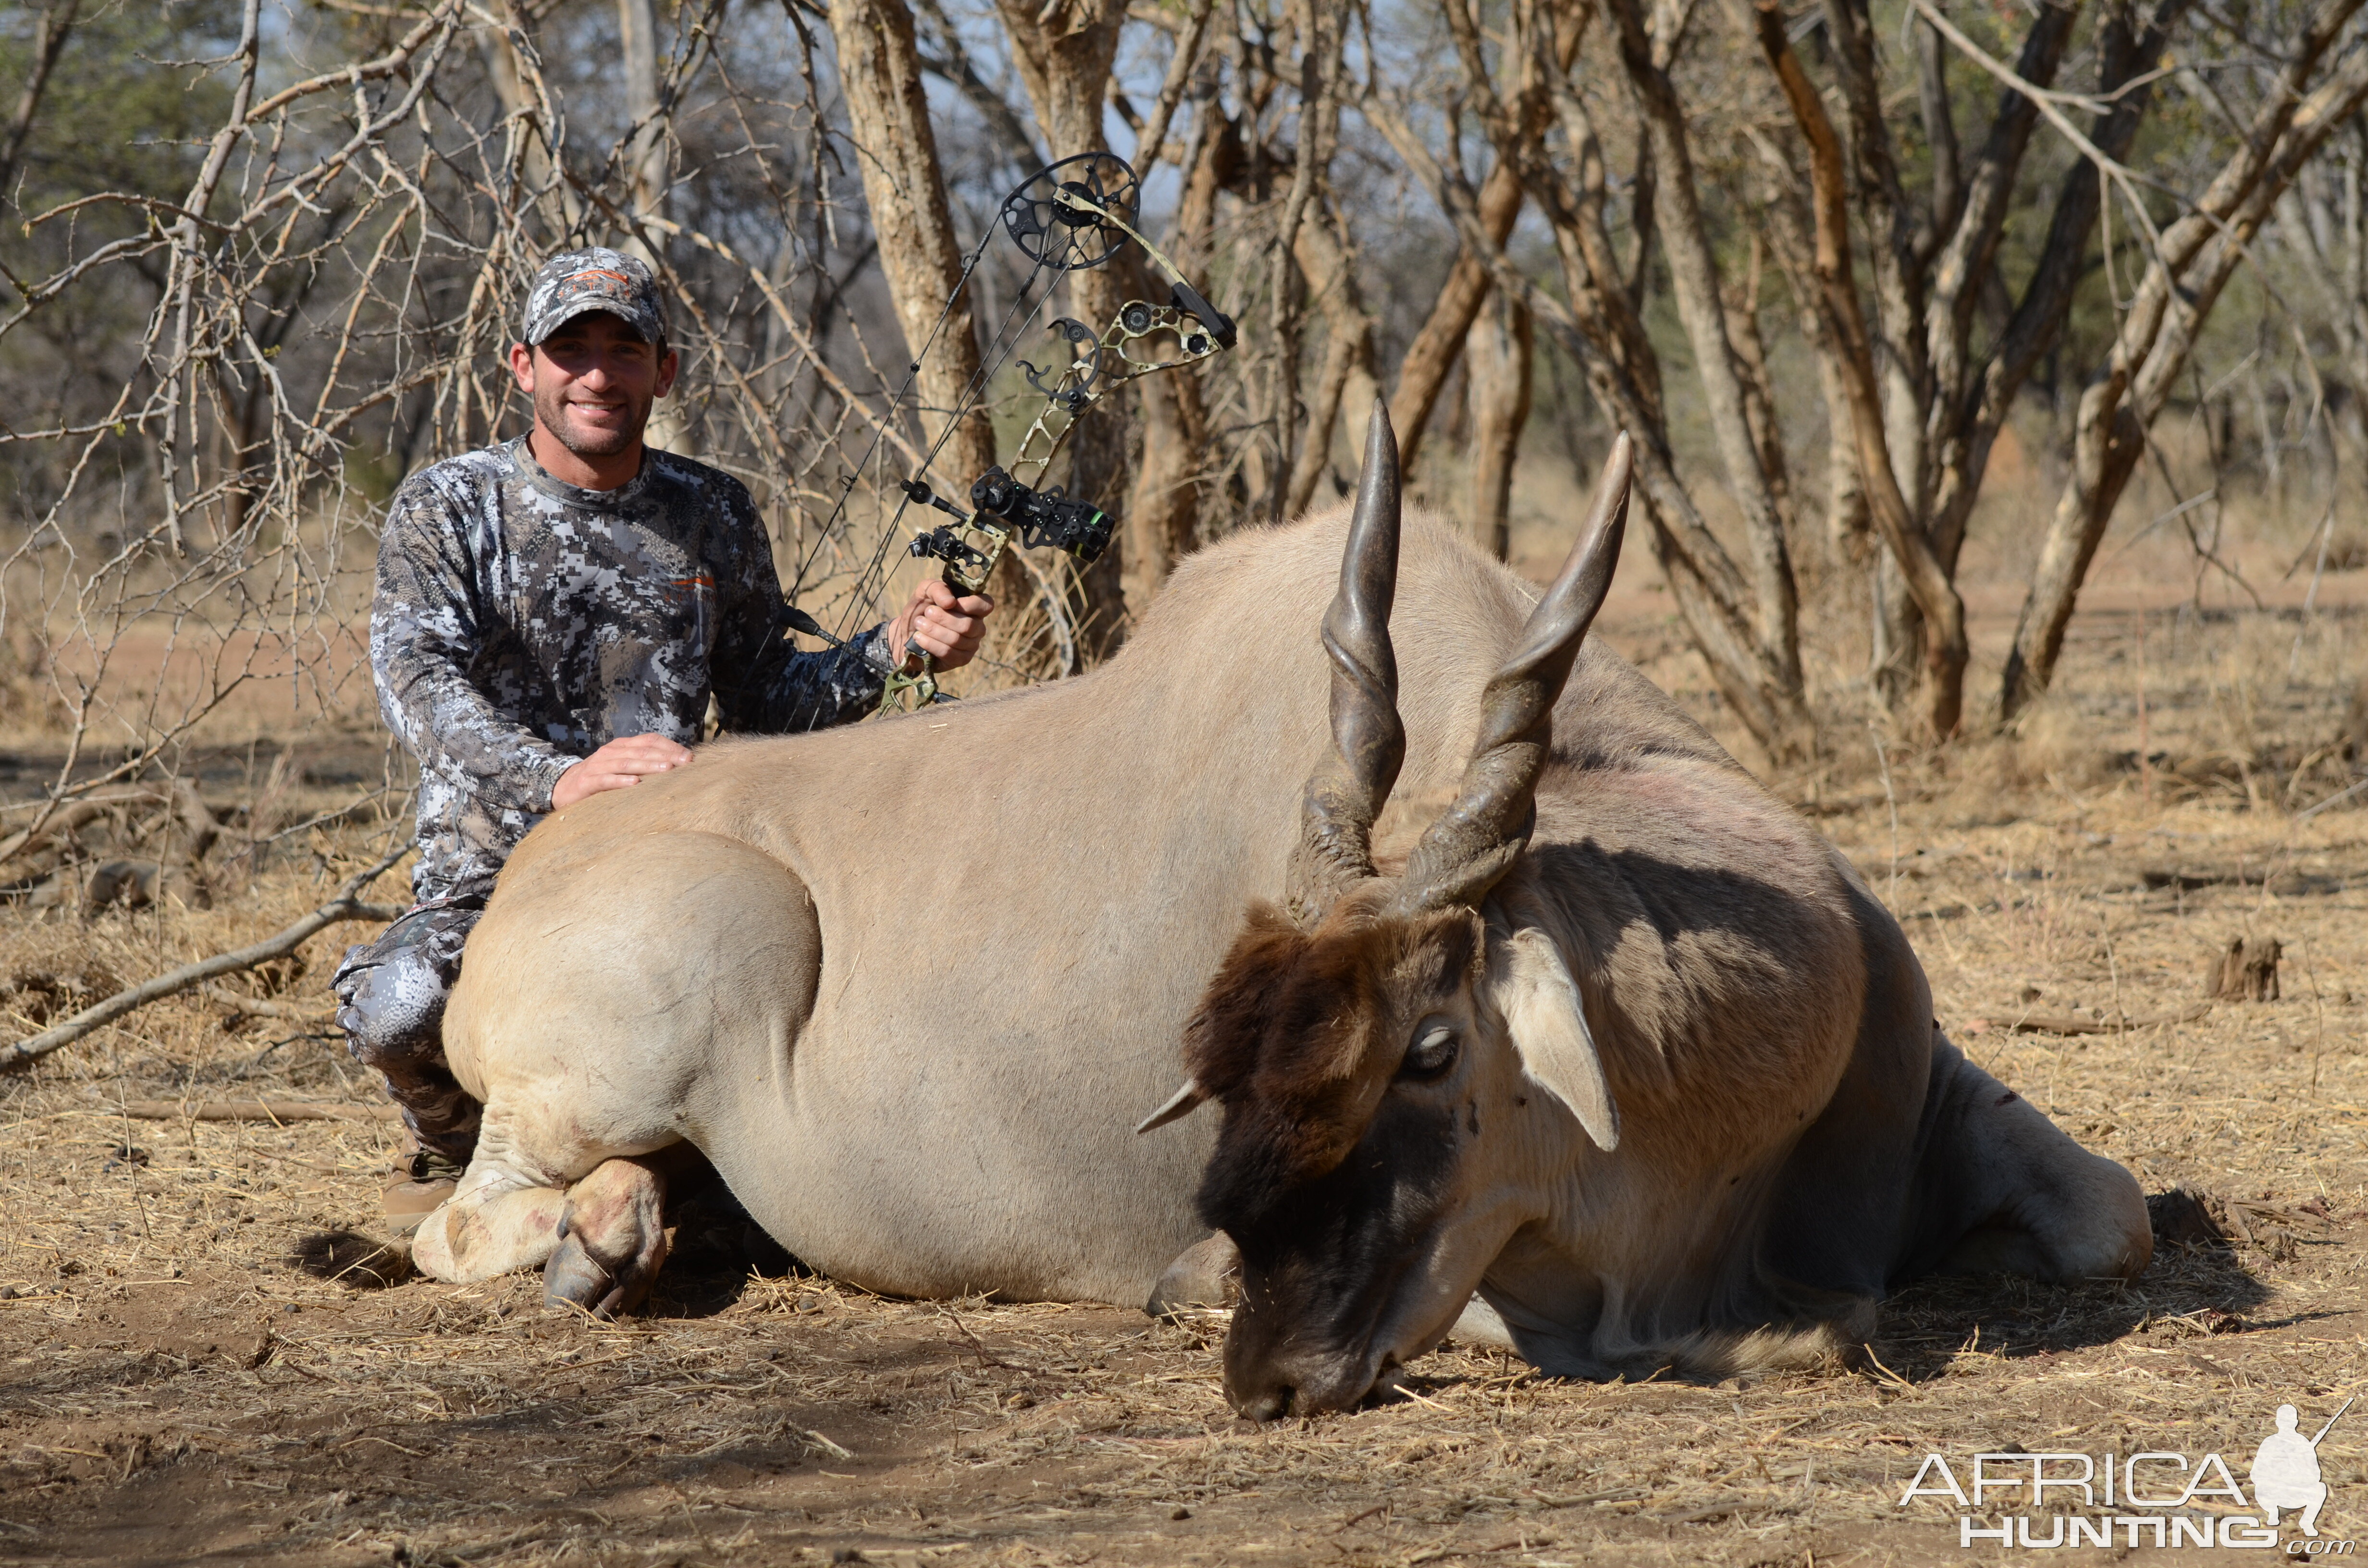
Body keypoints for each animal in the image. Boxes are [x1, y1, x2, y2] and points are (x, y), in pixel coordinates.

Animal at [417, 403, 2159, 1411]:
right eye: (1225, 1061)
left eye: (1430, 1049)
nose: (1263, 1371)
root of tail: (537, 871)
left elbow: (2114, 1218)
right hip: (663, 1000)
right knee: (465, 1217)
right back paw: (598, 1241)